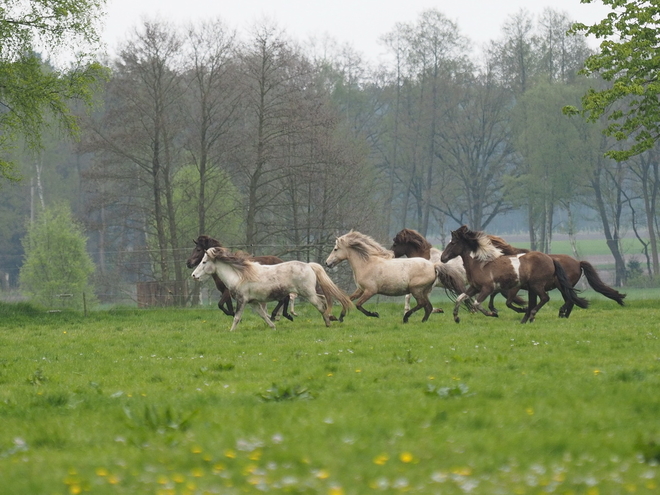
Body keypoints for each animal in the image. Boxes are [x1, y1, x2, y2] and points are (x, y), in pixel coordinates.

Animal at [191, 247, 350, 332]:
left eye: (204, 262)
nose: (193, 275)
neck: (239, 275)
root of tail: (309, 265)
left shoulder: (242, 300)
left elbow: (236, 317)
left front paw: (231, 331)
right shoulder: (253, 302)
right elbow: (263, 315)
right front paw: (273, 326)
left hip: (308, 293)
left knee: (320, 304)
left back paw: (328, 322)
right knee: (323, 300)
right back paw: (330, 318)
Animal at [392, 229, 524, 314]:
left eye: (395, 244)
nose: (391, 255)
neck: (427, 258)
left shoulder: (430, 283)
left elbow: (420, 296)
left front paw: (434, 310)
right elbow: (409, 296)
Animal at [440, 226, 592, 326]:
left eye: (453, 243)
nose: (443, 258)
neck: (480, 263)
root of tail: (551, 259)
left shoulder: (488, 288)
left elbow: (477, 304)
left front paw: (493, 313)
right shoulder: (474, 288)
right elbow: (460, 298)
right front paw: (456, 318)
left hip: (538, 285)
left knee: (546, 298)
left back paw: (534, 315)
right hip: (536, 287)